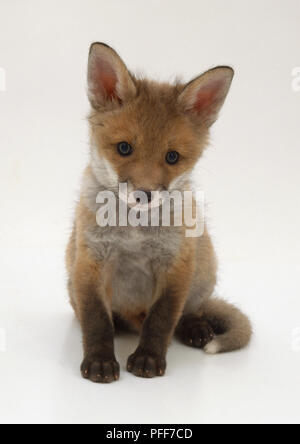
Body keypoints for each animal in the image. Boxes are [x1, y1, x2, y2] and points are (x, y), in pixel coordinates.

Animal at [65, 42, 251, 382]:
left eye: (172, 157)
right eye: (124, 148)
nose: (144, 194)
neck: (135, 233)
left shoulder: (176, 265)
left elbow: (162, 319)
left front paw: (148, 358)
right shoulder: (89, 261)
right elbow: (96, 320)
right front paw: (100, 360)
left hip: (203, 269)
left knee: (190, 312)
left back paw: (195, 327)